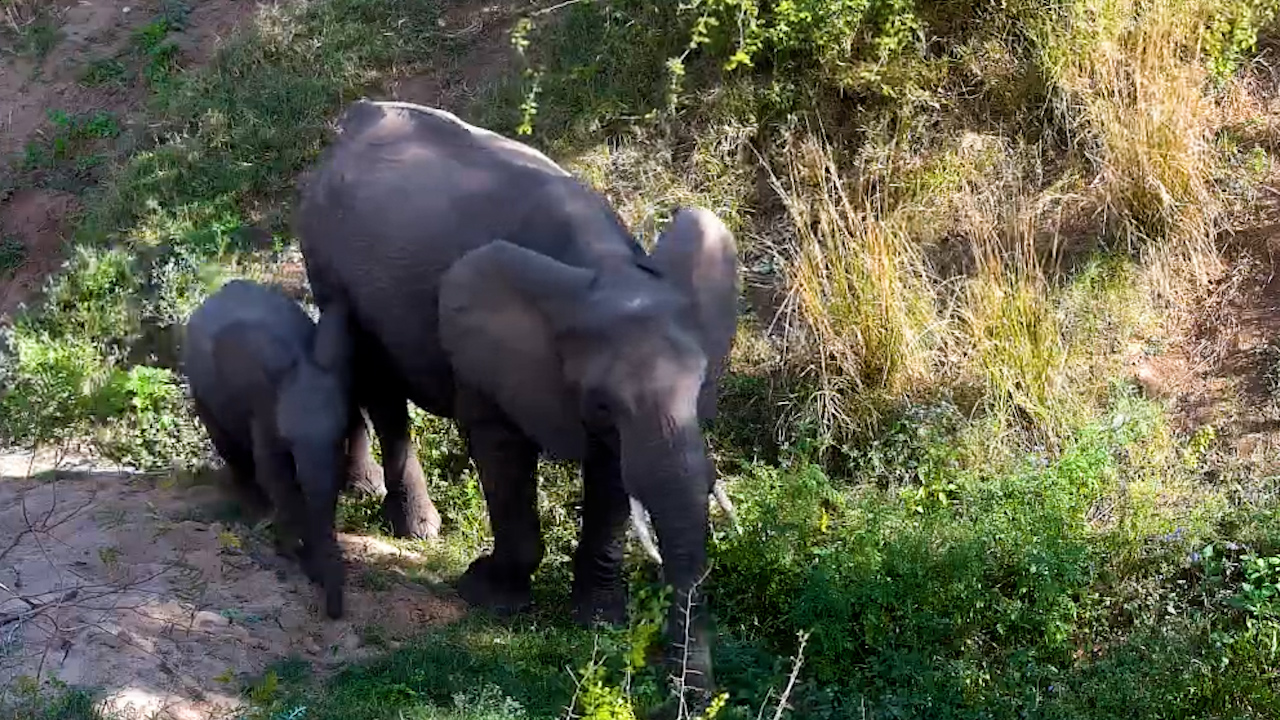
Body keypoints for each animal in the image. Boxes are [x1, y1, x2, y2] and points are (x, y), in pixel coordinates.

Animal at [181, 278, 363, 619]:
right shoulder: (264, 409)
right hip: (201, 389)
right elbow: (275, 475)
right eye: (290, 443)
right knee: (232, 450)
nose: (334, 613)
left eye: (340, 438)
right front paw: (294, 553)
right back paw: (252, 510)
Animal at [293, 98, 740, 696]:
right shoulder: (491, 363)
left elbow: (611, 476)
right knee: (378, 385)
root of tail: (355, 118)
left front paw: (599, 619)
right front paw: (486, 594)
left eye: (699, 392)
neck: (605, 268)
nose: (692, 698)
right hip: (327, 261)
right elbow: (502, 453)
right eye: (604, 402)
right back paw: (413, 526)